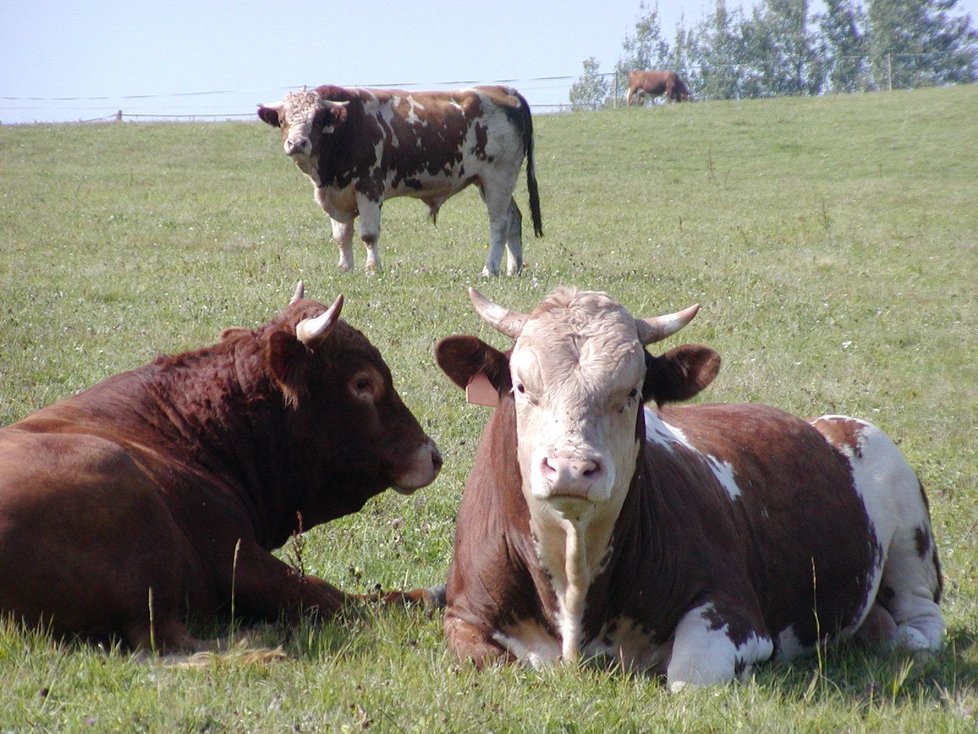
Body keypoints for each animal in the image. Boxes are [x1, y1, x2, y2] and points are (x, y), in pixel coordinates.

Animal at [258, 84, 540, 278]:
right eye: (282, 119)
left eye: (317, 119)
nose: (297, 143)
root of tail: (505, 90)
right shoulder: (336, 194)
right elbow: (342, 235)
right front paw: (345, 267)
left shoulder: (369, 188)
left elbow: (368, 235)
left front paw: (373, 268)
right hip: (487, 181)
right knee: (514, 218)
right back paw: (514, 268)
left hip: (498, 178)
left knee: (499, 224)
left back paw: (489, 269)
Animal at [432, 288, 936, 688]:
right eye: (521, 387)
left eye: (632, 392)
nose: (571, 469)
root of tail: (825, 424)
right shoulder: (464, 614)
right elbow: (489, 661)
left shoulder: (734, 611)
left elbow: (689, 677)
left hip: (908, 520)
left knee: (922, 621)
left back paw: (896, 636)